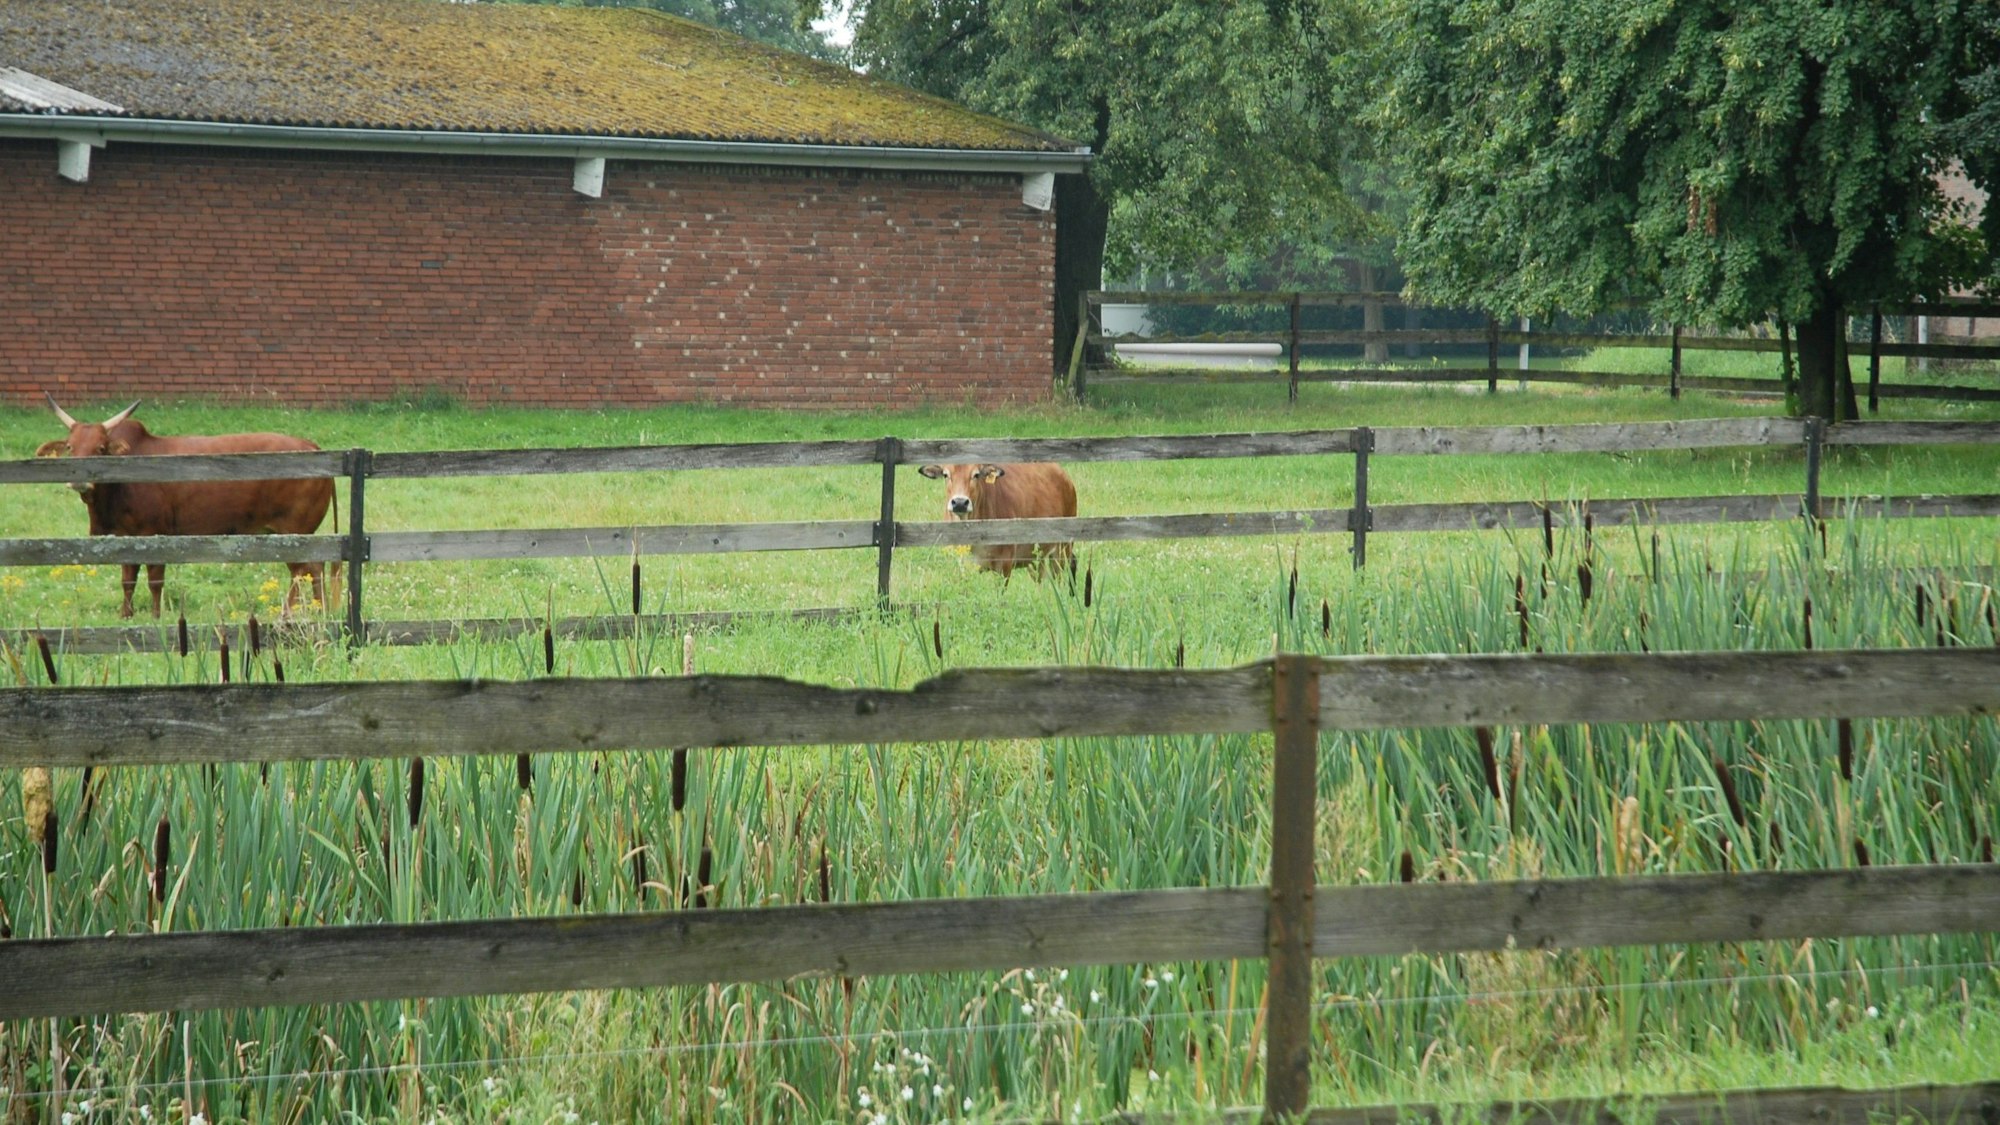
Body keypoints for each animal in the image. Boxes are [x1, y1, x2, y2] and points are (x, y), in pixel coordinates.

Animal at [39, 397, 338, 618]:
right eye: (70, 447)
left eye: (100, 448)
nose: (79, 479)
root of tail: (311, 445)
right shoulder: (126, 538)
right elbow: (128, 579)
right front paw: (126, 615)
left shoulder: (154, 534)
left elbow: (155, 580)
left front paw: (156, 617)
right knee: (314, 568)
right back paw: (319, 610)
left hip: (294, 531)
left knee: (302, 570)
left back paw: (289, 613)